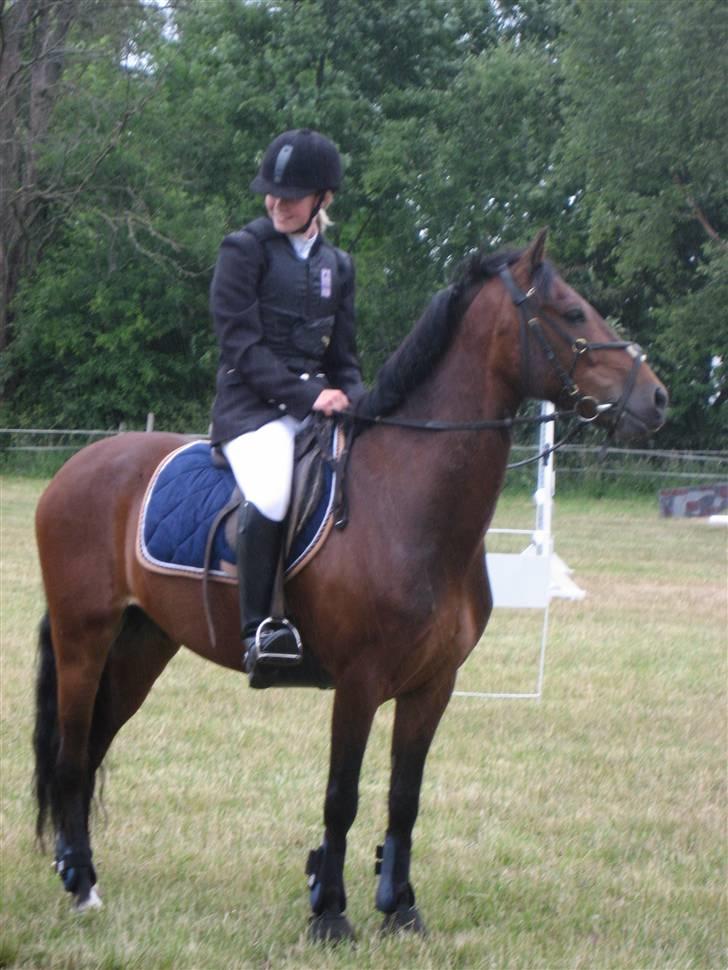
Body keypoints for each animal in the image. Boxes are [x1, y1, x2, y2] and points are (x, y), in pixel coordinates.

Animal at [32, 229, 668, 939]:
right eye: (572, 313)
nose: (656, 399)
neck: (409, 501)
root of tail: (78, 465)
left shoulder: (432, 685)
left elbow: (404, 796)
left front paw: (401, 907)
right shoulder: (359, 683)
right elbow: (342, 796)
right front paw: (330, 911)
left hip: (142, 645)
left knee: (91, 750)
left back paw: (79, 873)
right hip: (84, 639)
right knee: (71, 754)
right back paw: (81, 884)